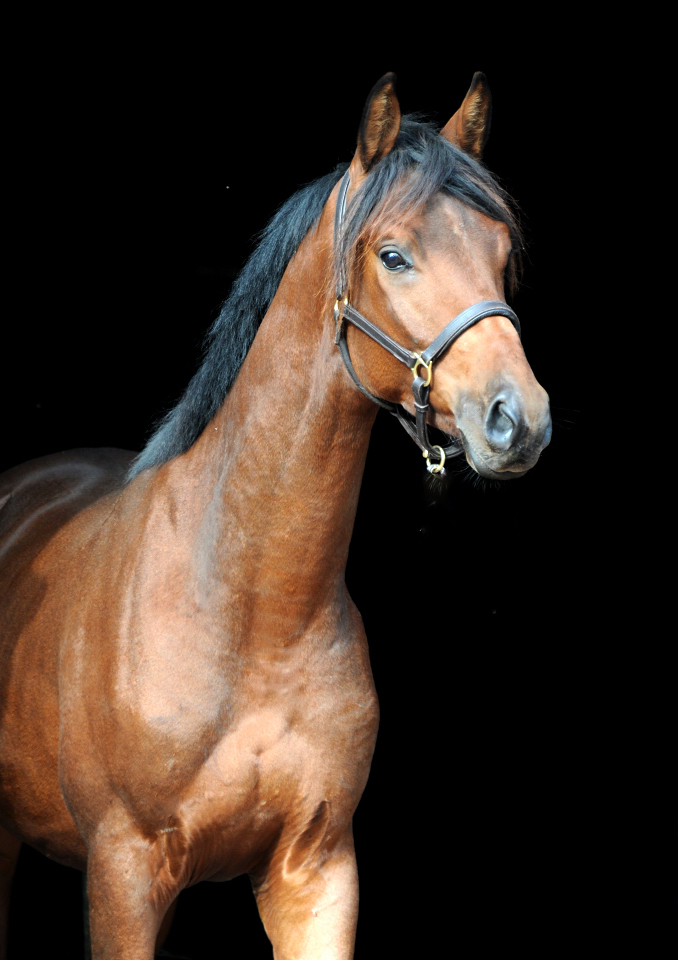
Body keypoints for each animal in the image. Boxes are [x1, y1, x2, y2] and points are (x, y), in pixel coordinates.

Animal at [0, 71, 552, 956]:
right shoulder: (121, 874)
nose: (517, 418)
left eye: (500, 252)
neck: (252, 612)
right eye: (393, 255)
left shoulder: (317, 871)